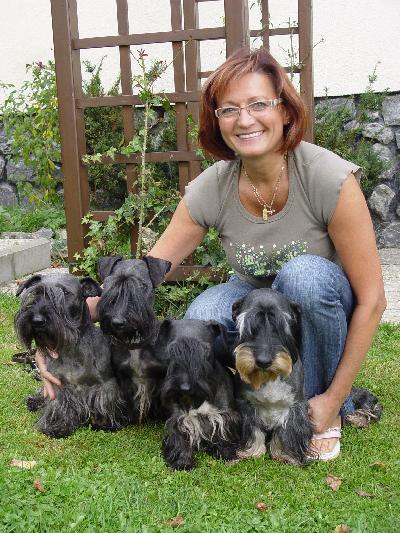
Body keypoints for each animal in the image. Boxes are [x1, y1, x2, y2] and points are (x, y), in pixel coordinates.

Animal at [14, 272, 127, 438]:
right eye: (37, 293)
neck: (71, 348)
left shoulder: (106, 386)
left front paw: (105, 423)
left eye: (66, 293)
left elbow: (105, 404)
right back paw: (35, 400)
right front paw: (55, 426)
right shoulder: (58, 385)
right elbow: (58, 406)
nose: (37, 320)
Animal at [160, 319, 242, 470]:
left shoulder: (225, 415)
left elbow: (224, 434)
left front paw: (227, 453)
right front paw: (182, 461)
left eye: (204, 350)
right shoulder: (178, 419)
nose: (185, 388)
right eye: (172, 350)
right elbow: (179, 439)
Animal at [232, 288, 314, 465]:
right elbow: (253, 430)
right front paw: (252, 452)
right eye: (249, 326)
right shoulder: (245, 405)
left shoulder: (295, 407)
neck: (268, 378)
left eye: (281, 327)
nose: (263, 361)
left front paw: (285, 455)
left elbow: (286, 432)